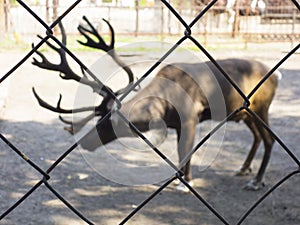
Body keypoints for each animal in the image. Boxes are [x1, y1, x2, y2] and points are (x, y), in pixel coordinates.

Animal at [31, 16, 280, 192]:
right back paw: (244, 169)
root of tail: (276, 75)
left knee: (269, 139)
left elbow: (185, 150)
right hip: (246, 113)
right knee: (258, 137)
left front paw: (186, 182)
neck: (165, 102)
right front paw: (180, 178)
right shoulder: (178, 125)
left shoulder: (190, 118)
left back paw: (257, 181)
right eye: (99, 118)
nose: (84, 142)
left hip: (261, 108)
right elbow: (181, 151)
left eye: (110, 123)